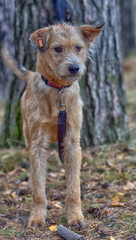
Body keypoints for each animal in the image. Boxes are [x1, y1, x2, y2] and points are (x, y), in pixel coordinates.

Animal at [1, 23, 103, 228]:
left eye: (78, 48)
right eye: (57, 49)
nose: (74, 68)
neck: (58, 91)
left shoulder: (72, 143)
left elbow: (74, 188)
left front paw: (76, 217)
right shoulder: (38, 144)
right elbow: (39, 190)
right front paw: (37, 217)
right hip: (28, 136)